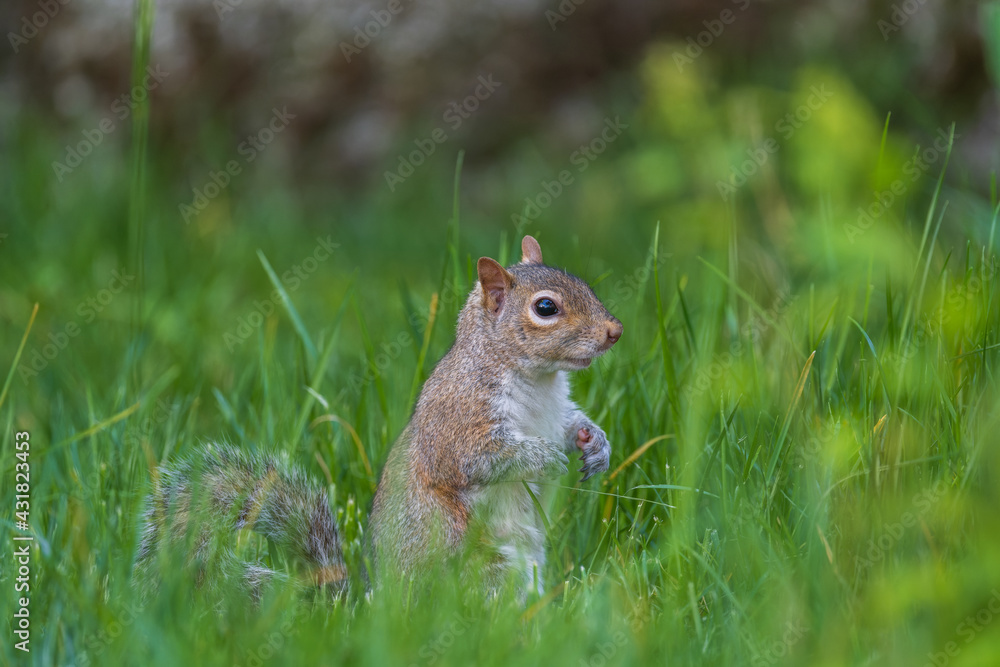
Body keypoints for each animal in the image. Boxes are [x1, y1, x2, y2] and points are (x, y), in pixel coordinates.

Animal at [135, 235, 622, 600]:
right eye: (546, 308)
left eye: (581, 282)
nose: (614, 331)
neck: (536, 378)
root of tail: (373, 604)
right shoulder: (461, 418)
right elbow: (482, 459)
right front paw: (545, 458)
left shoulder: (557, 409)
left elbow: (571, 424)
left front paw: (595, 445)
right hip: (473, 556)